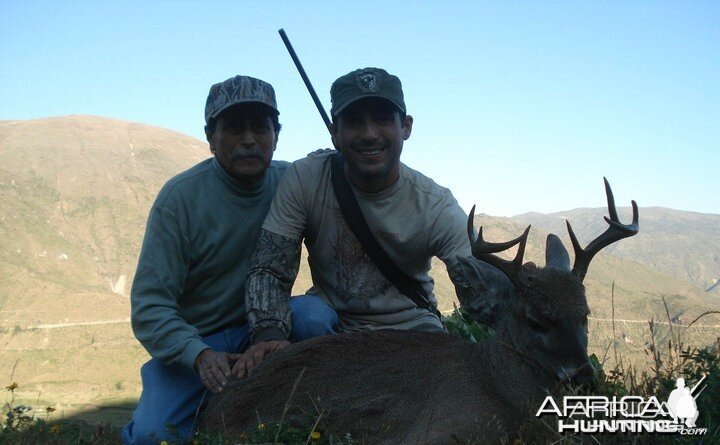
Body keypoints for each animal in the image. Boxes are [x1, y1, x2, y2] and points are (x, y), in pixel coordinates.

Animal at [200, 178, 640, 444]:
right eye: (536, 320)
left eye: (584, 313)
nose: (585, 377)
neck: (501, 389)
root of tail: (212, 411)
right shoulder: (439, 427)